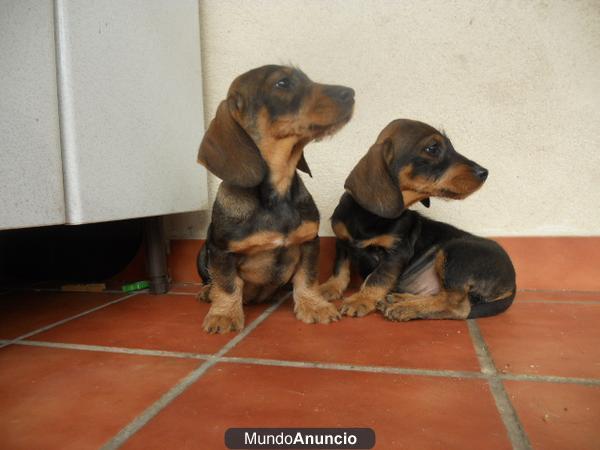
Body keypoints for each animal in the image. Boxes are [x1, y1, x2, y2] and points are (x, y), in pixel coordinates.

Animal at [197, 65, 356, 332]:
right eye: (282, 83)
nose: (351, 93)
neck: (277, 194)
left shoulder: (309, 242)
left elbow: (307, 279)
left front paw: (314, 306)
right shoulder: (221, 252)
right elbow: (228, 285)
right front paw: (224, 315)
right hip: (202, 253)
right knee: (212, 282)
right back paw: (208, 292)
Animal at [318, 118, 516, 320]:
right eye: (432, 148)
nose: (484, 172)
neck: (369, 217)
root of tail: (513, 282)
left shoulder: (396, 253)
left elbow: (377, 279)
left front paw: (360, 300)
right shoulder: (342, 241)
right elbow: (340, 269)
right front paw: (328, 288)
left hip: (454, 251)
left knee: (456, 306)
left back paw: (405, 308)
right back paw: (398, 299)